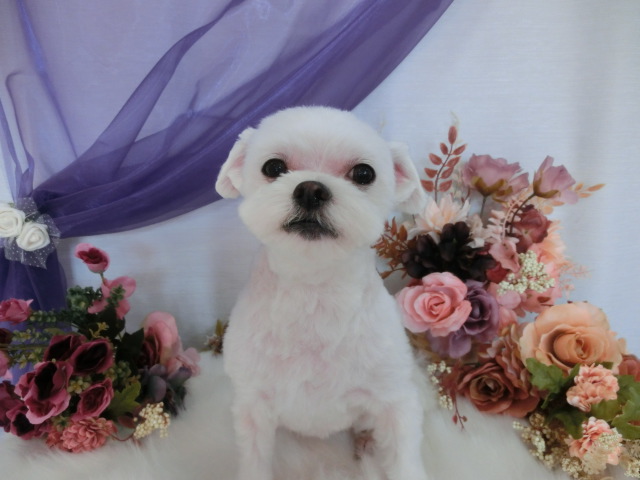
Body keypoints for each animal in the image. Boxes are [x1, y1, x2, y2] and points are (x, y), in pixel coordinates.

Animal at [215, 106, 430, 480]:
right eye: (273, 167)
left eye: (364, 173)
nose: (311, 189)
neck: (313, 293)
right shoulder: (253, 404)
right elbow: (254, 460)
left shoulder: (395, 400)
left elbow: (404, 462)